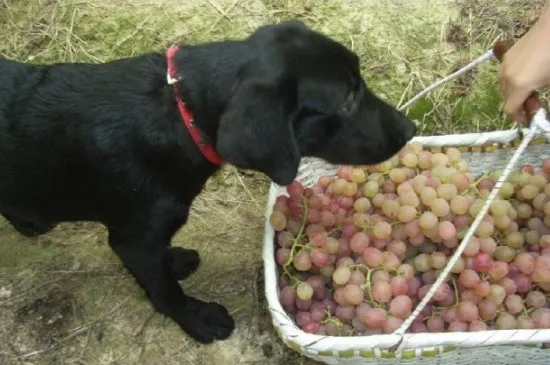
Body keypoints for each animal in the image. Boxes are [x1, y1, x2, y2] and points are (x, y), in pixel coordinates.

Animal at [0, 21, 414, 342]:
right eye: (347, 100)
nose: (410, 128)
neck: (179, 115)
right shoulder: (132, 241)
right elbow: (166, 292)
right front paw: (198, 319)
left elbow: (163, 263)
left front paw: (174, 259)